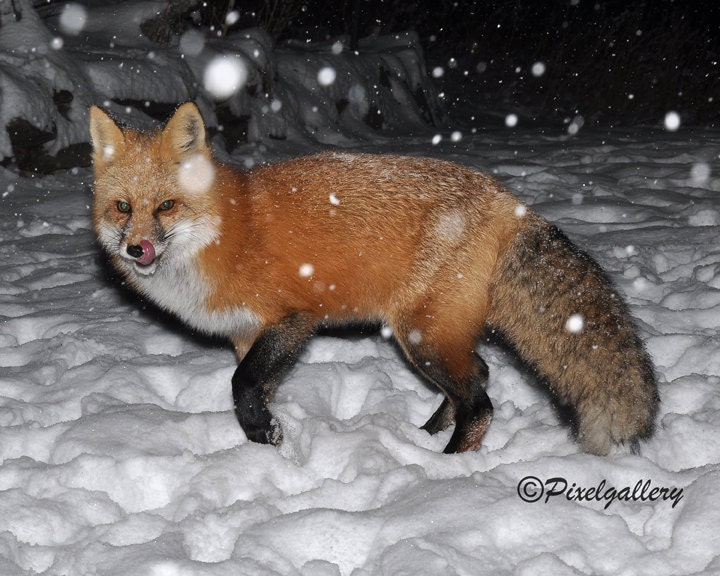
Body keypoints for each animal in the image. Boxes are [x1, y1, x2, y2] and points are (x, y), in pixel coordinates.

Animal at [89, 102, 658, 456]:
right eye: (123, 208)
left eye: (166, 206)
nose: (137, 249)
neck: (226, 234)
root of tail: (510, 204)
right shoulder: (247, 334)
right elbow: (252, 391)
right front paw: (265, 447)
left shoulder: (293, 319)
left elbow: (242, 385)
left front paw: (265, 435)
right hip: (433, 335)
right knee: (478, 377)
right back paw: (425, 436)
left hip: (420, 334)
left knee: (480, 402)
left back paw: (446, 466)